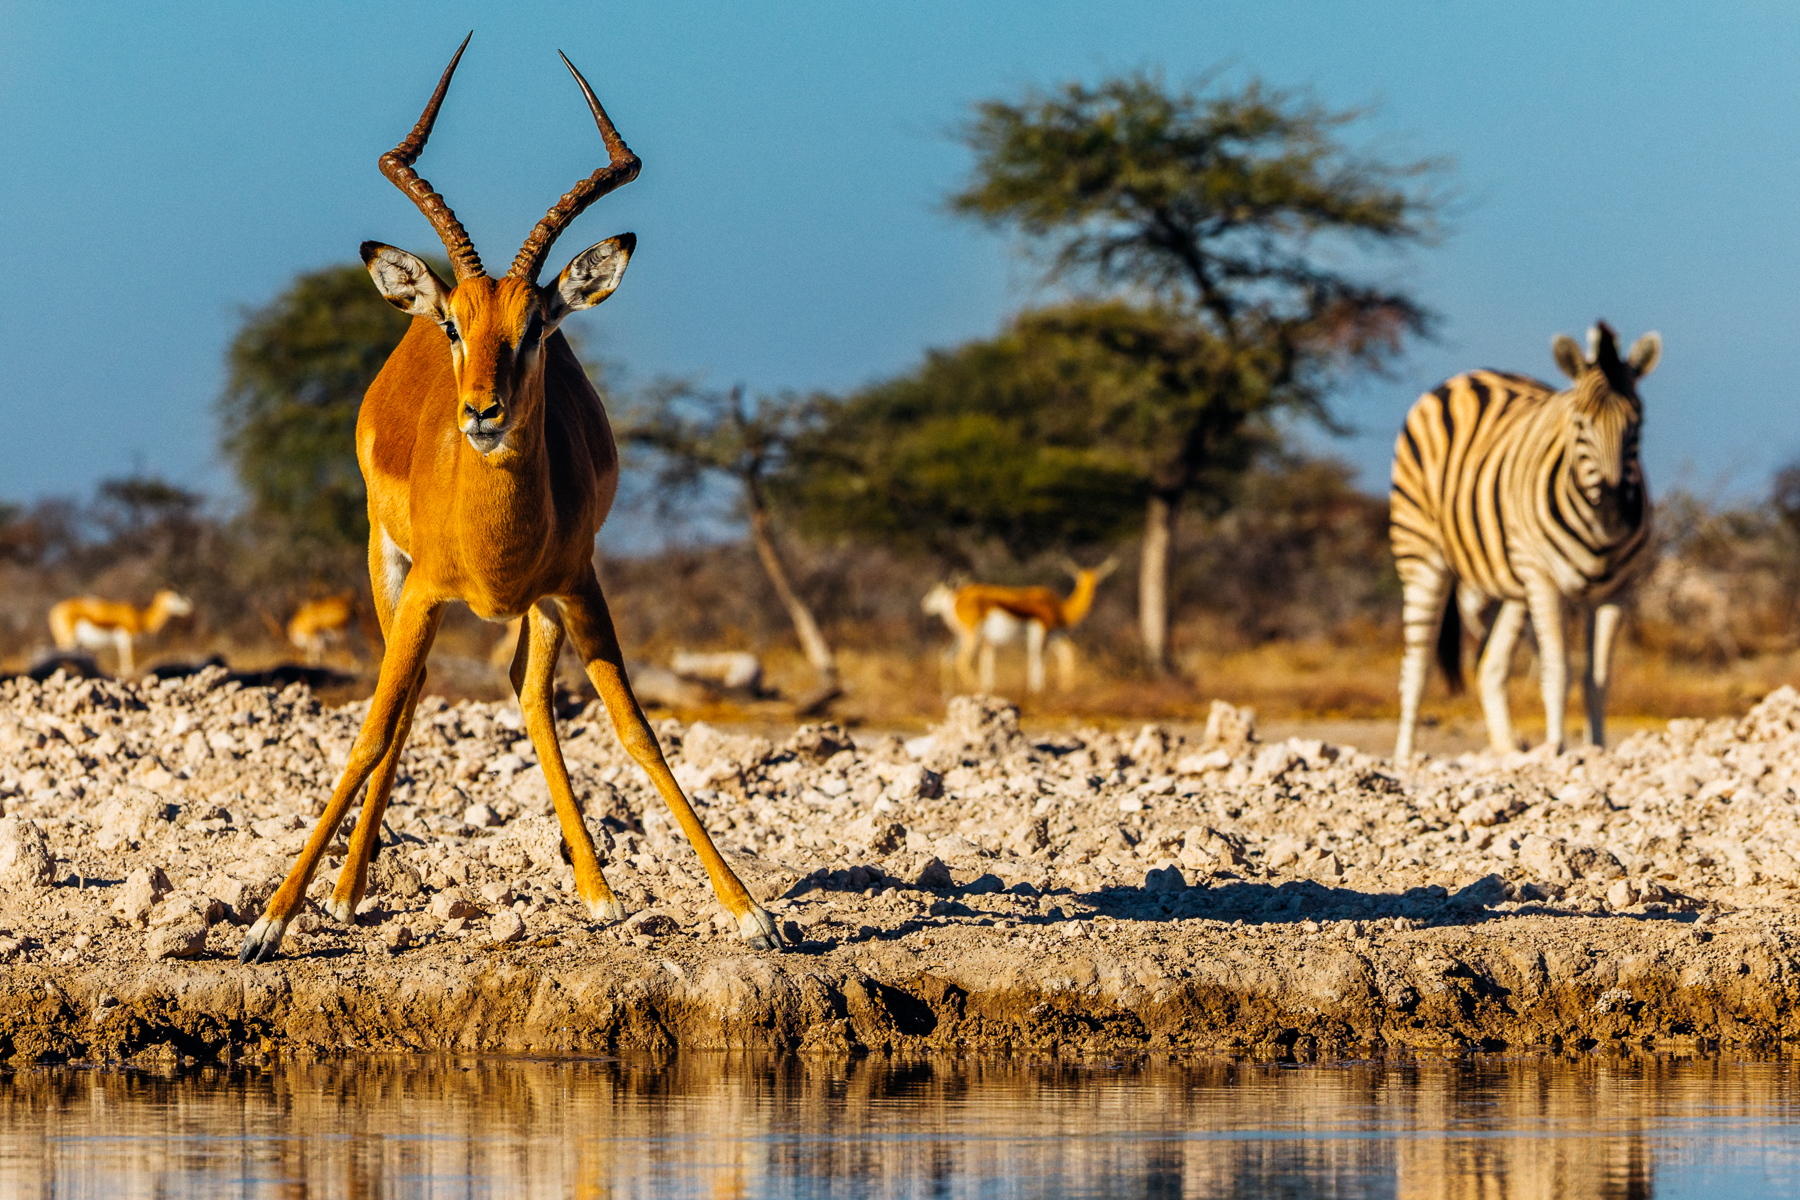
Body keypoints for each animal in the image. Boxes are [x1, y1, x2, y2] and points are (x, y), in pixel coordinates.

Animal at [47, 589, 192, 676]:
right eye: (177, 597)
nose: (189, 606)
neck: (140, 617)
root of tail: (55, 610)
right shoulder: (126, 637)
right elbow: (127, 657)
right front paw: (128, 673)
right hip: (68, 640)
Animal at [239, 36, 782, 962]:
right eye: (455, 324)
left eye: (537, 328)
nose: (482, 413)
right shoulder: (426, 590)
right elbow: (373, 727)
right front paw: (271, 922)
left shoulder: (579, 583)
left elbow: (636, 729)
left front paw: (748, 909)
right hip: (388, 568)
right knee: (411, 697)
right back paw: (346, 893)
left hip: (541, 605)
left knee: (529, 696)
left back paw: (596, 892)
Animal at [922, 559, 1117, 694]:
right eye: (1082, 579)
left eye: (1096, 578)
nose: (924, 605)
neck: (1060, 608)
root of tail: (955, 597)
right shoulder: (1041, 631)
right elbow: (1038, 656)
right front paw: (1037, 689)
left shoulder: (1052, 634)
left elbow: (1062, 653)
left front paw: (1063, 688)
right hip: (972, 635)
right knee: (961, 659)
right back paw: (976, 688)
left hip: (963, 636)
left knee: (946, 655)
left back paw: (948, 693)